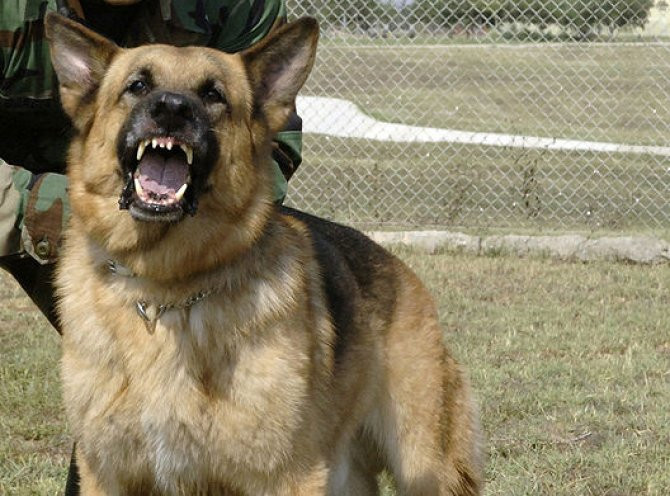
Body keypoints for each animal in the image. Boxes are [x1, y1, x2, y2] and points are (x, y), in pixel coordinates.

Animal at [46, 11, 484, 496]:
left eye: (212, 94)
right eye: (138, 86)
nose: (172, 109)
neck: (164, 290)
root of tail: (403, 272)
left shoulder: (287, 477)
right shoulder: (107, 475)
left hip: (424, 465)